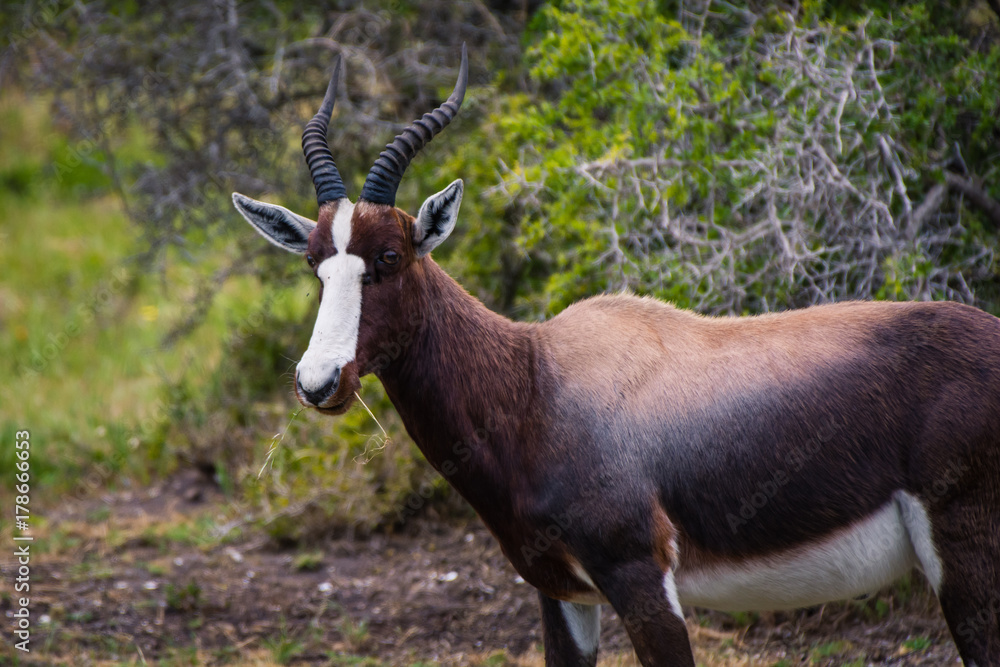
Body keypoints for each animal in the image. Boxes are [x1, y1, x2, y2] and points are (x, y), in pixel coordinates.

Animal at [236, 48, 1000, 667]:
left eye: (390, 256)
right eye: (315, 262)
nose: (319, 381)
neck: (536, 381)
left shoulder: (640, 579)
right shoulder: (563, 594)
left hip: (965, 561)